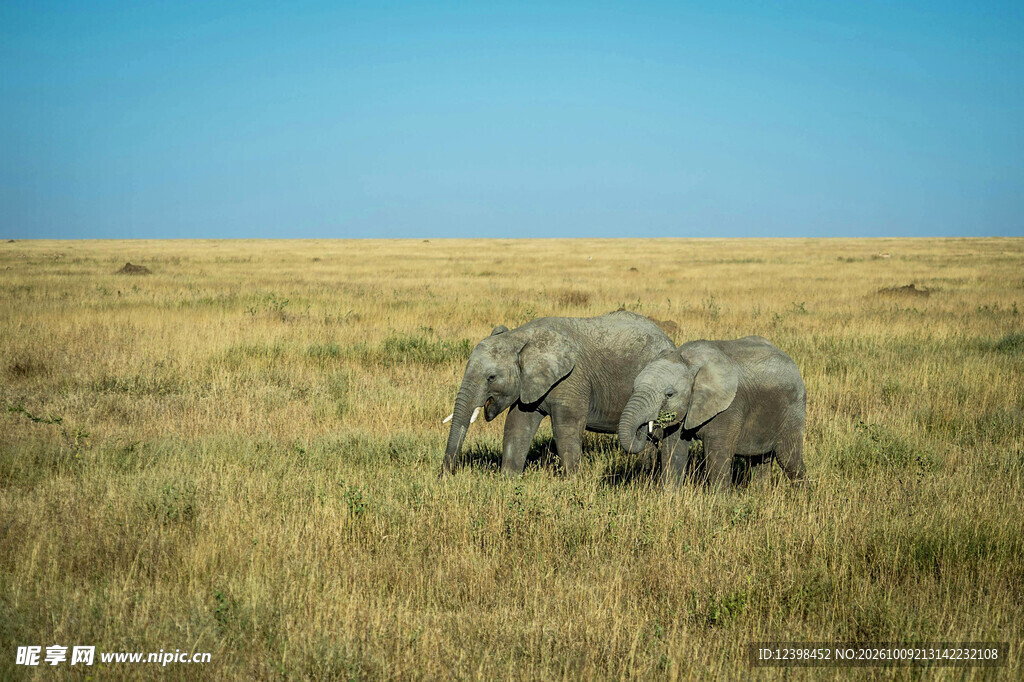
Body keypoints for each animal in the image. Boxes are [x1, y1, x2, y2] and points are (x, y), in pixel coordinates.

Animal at [441, 310, 677, 477]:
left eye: (491, 377)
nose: (445, 476)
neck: (520, 337)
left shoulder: (572, 379)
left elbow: (566, 428)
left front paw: (574, 482)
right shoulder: (528, 383)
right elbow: (517, 426)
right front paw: (508, 480)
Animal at [618, 336, 806, 489]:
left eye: (669, 394)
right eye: (633, 388)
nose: (646, 426)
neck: (687, 360)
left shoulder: (729, 407)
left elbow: (717, 454)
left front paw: (720, 504)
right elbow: (674, 450)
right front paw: (669, 497)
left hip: (794, 410)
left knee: (789, 458)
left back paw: (802, 496)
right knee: (760, 460)